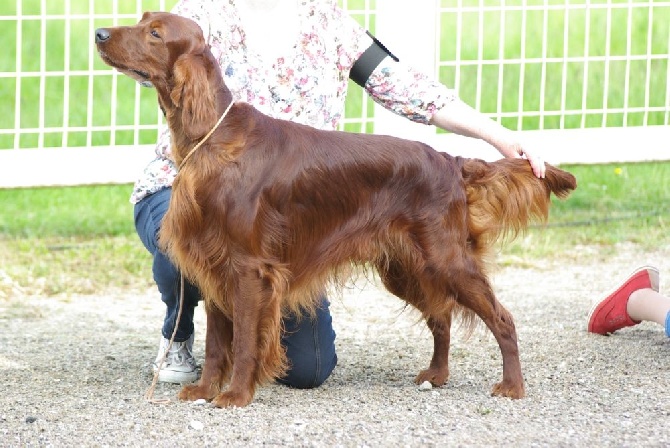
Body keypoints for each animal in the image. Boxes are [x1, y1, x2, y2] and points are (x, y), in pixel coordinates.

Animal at [96, 12, 576, 408]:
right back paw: (436, 375)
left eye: (155, 33)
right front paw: (204, 389)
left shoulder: (249, 269)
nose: (99, 33)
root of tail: (449, 160)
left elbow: (246, 340)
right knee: (440, 317)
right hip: (408, 266)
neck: (214, 136)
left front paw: (235, 395)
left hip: (446, 259)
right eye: (142, 21)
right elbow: (217, 345)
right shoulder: (212, 263)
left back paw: (512, 386)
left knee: (502, 318)